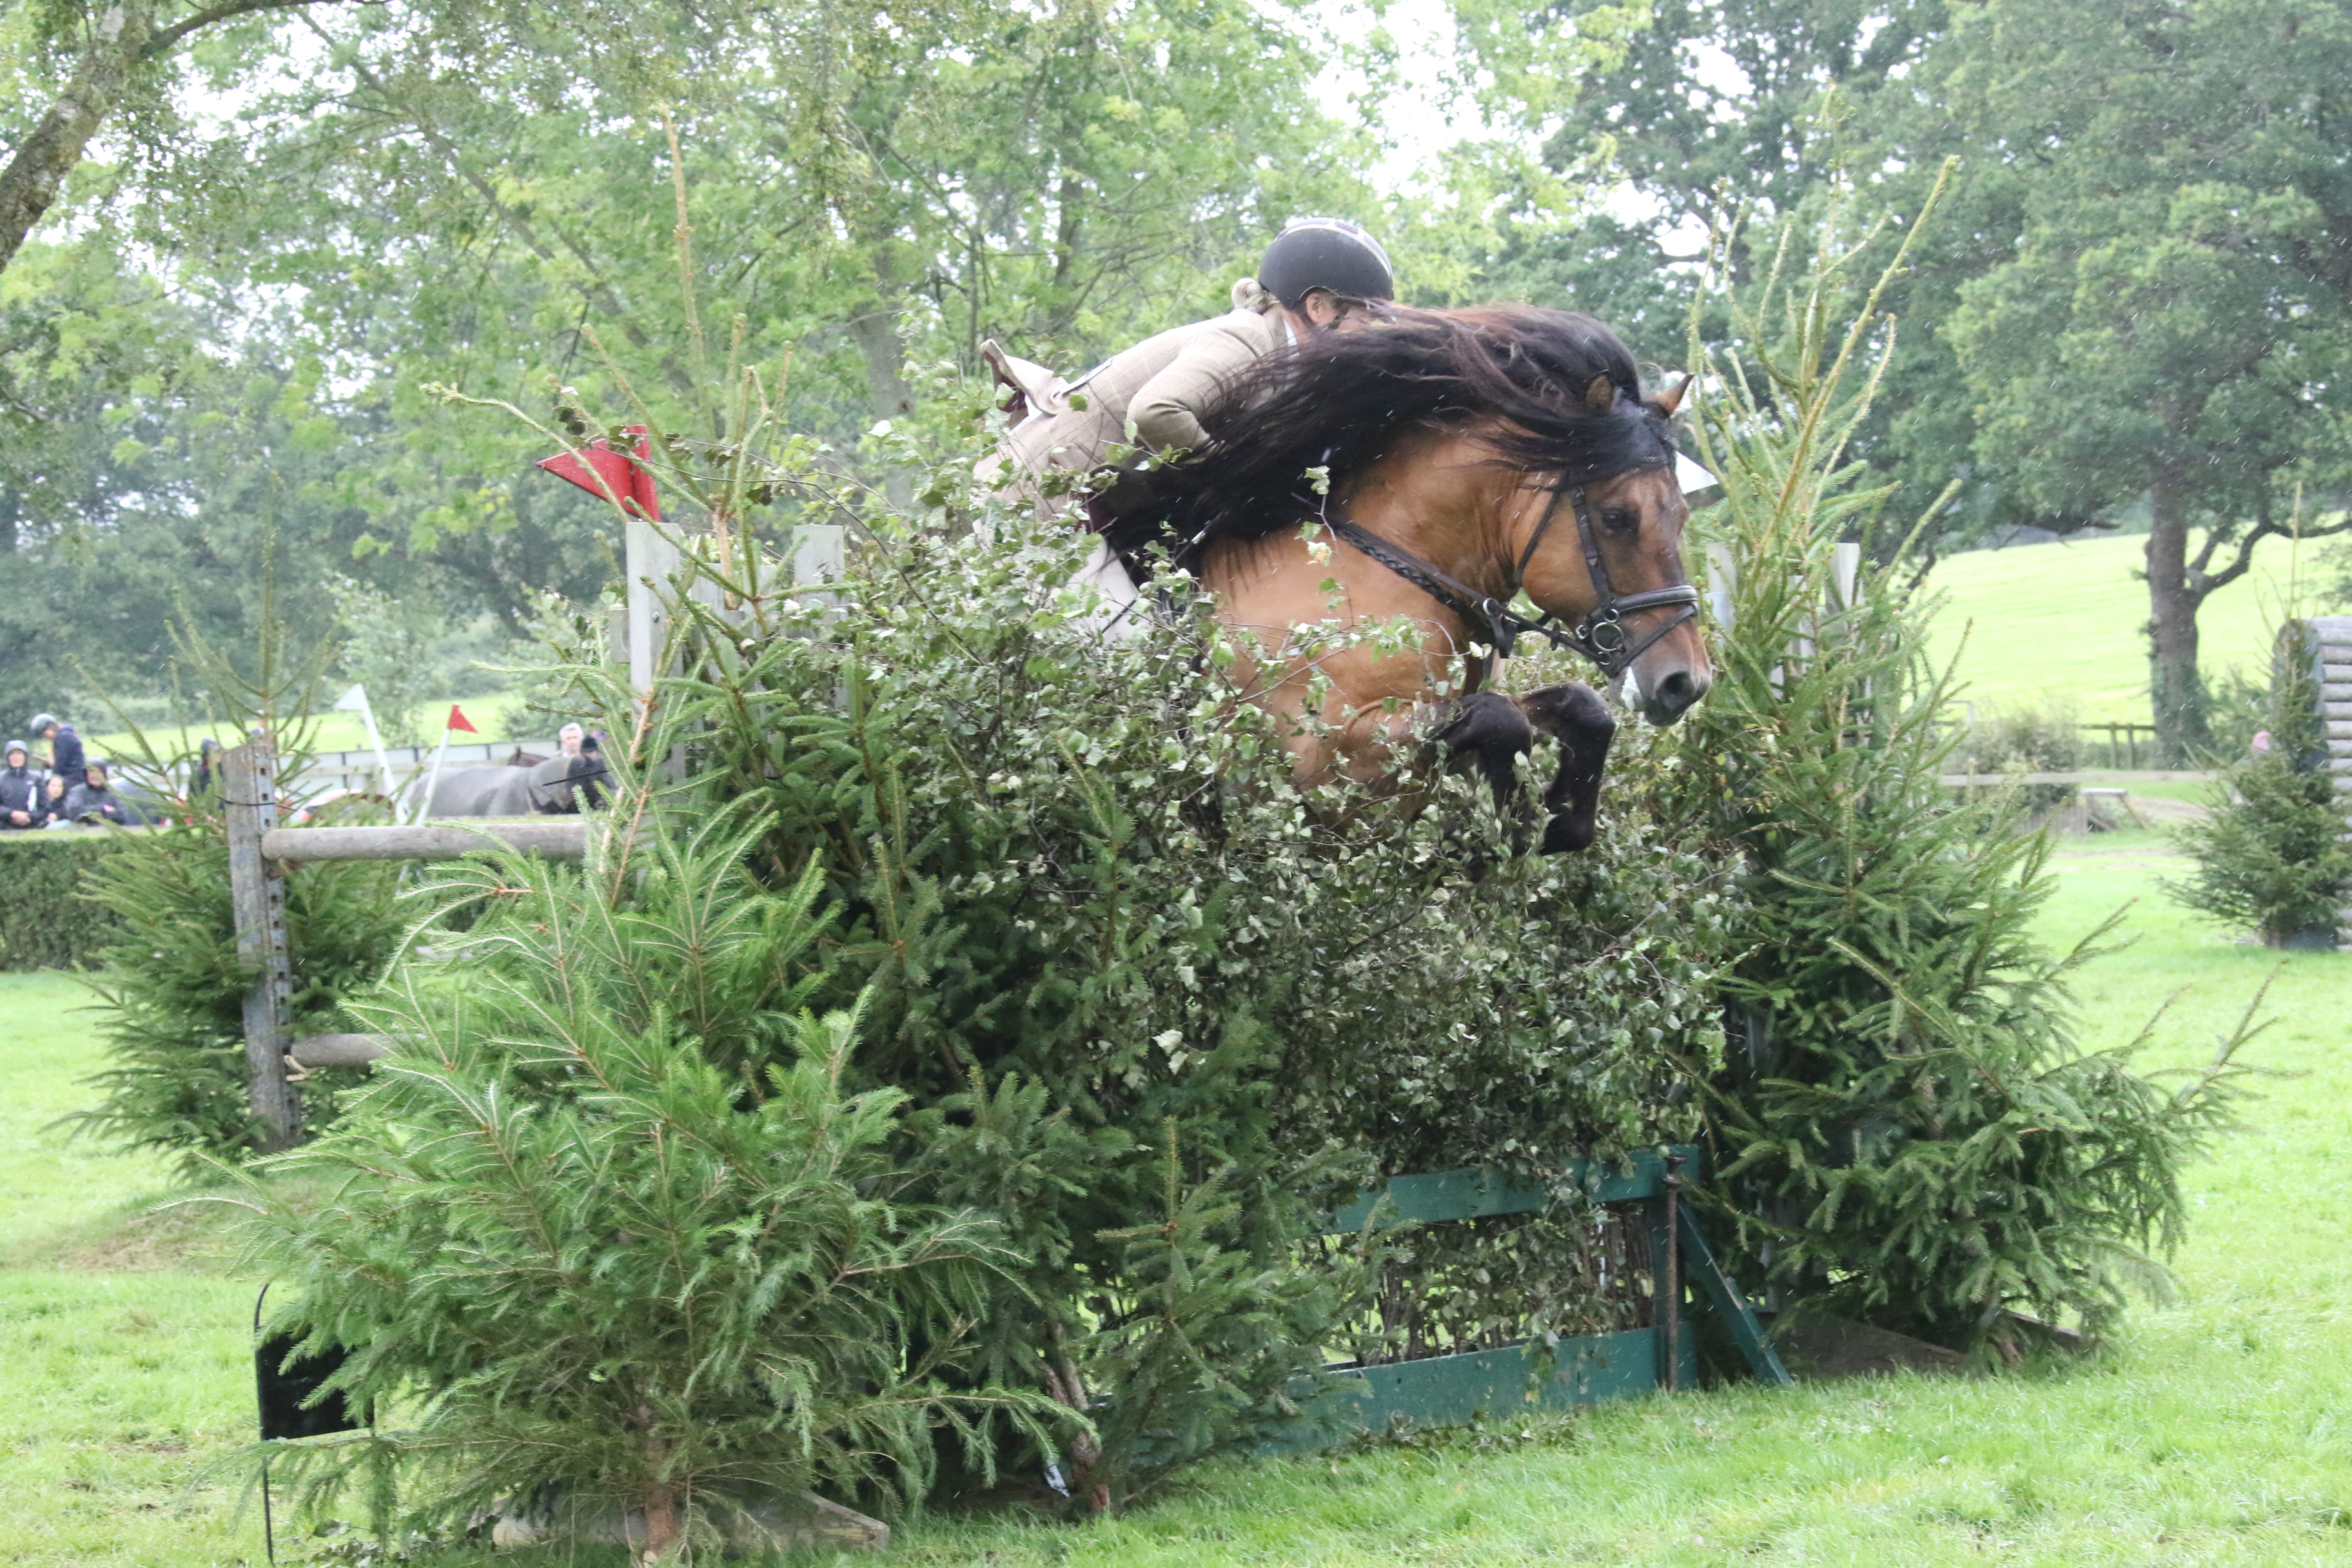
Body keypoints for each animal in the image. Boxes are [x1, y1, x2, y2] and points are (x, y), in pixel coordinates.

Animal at [1110, 303, 1721, 850]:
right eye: (1617, 517)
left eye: (1681, 516)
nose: (1686, 684)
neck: (1387, 568)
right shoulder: (1318, 764)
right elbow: (1502, 720)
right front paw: (1509, 822)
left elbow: (1579, 708)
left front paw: (1554, 820)